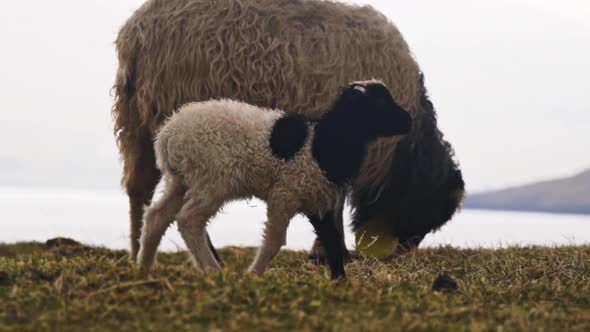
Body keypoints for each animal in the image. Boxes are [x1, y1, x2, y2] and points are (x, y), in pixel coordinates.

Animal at [139, 81, 414, 280]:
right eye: (379, 103)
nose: (409, 121)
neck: (322, 143)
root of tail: (167, 136)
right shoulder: (286, 193)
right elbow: (274, 240)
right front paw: (253, 275)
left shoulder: (318, 199)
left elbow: (332, 240)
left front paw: (340, 281)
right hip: (213, 180)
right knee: (189, 221)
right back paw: (212, 271)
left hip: (181, 180)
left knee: (156, 216)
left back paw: (144, 268)